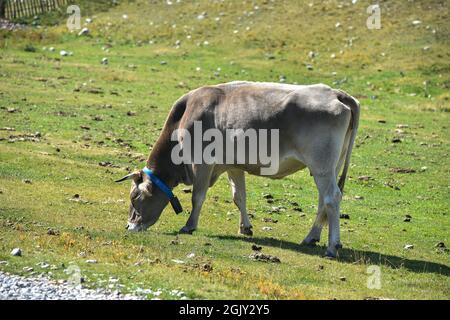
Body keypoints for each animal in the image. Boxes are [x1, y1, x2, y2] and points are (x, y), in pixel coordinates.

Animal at [115, 80, 358, 258]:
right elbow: (238, 196)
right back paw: (311, 238)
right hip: (329, 167)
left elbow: (197, 196)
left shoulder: (201, 163)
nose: (128, 226)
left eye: (135, 197)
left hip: (321, 165)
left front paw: (189, 226)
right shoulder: (233, 165)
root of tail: (336, 93)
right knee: (323, 201)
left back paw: (332, 246)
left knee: (332, 197)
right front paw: (245, 228)